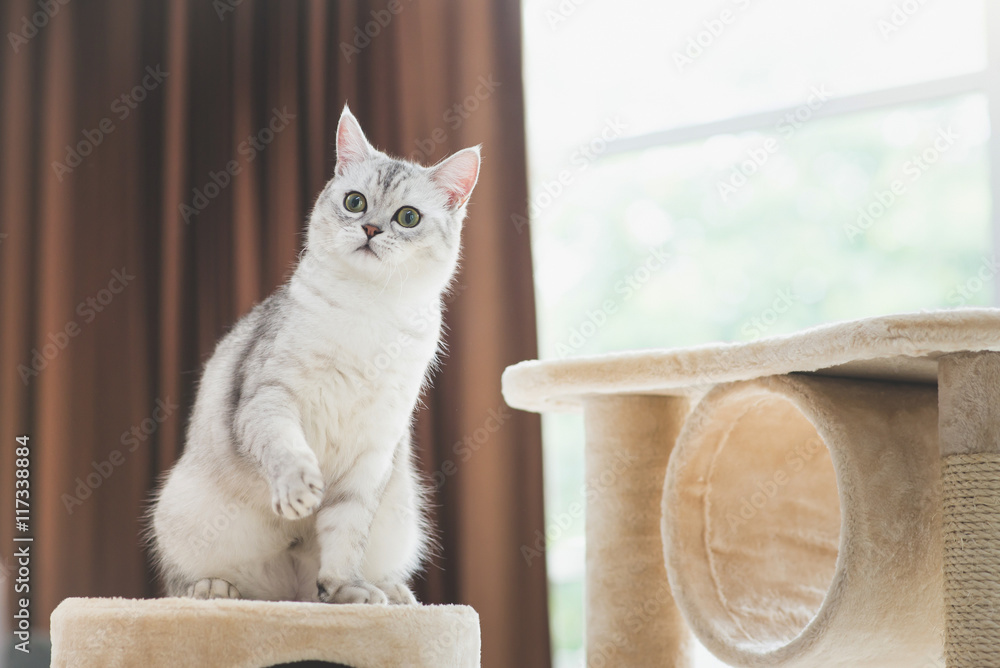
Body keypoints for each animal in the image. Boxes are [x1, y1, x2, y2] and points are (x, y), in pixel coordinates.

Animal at [148, 105, 480, 604]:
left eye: (407, 217)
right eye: (355, 203)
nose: (370, 229)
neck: (369, 309)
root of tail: (287, 593)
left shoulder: (375, 449)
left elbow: (345, 532)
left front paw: (348, 590)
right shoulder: (269, 399)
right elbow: (288, 450)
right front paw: (299, 490)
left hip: (401, 515)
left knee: (323, 581)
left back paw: (390, 592)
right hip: (180, 509)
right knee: (181, 584)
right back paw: (213, 589)